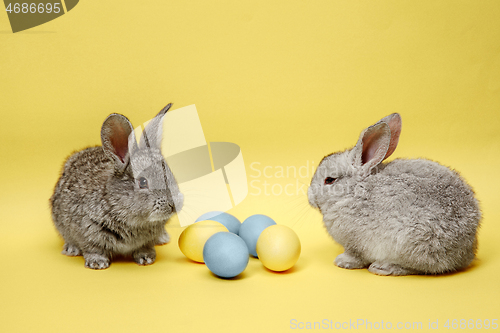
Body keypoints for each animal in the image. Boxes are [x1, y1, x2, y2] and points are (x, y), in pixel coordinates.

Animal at [49, 102, 184, 268]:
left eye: (170, 174)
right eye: (143, 182)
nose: (174, 204)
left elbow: (145, 246)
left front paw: (146, 257)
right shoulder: (87, 230)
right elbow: (92, 248)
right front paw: (97, 263)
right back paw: (71, 249)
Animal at [306, 114, 482, 274]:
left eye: (329, 180)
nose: (309, 197)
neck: (354, 191)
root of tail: (466, 252)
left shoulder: (355, 243)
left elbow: (355, 256)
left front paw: (342, 262)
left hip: (411, 242)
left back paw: (383, 267)